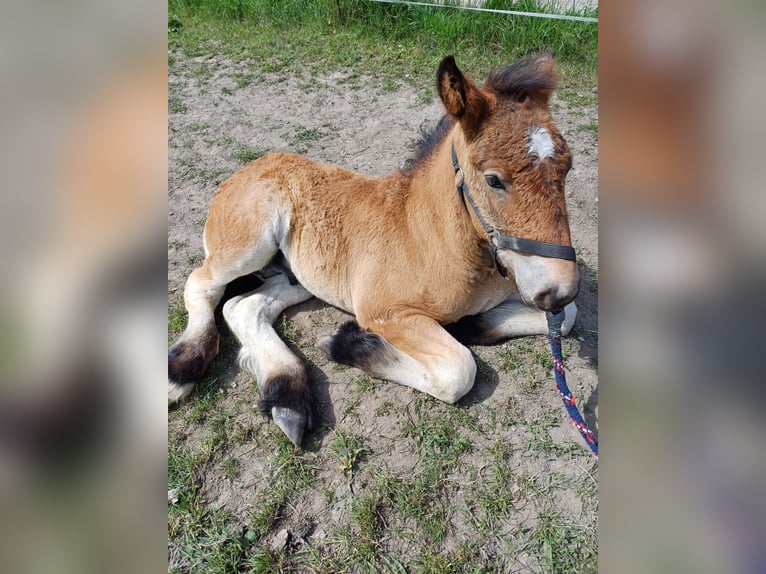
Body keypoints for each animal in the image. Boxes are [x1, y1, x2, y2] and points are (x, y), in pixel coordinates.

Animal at [171, 55, 580, 446]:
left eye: (567, 167)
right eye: (494, 180)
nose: (561, 286)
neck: (436, 238)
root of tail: (246, 168)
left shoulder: (521, 277)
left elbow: (567, 317)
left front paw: (469, 325)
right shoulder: (384, 311)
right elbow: (458, 371)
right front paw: (348, 344)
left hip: (299, 276)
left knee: (244, 306)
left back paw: (288, 398)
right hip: (248, 245)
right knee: (201, 285)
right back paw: (184, 369)